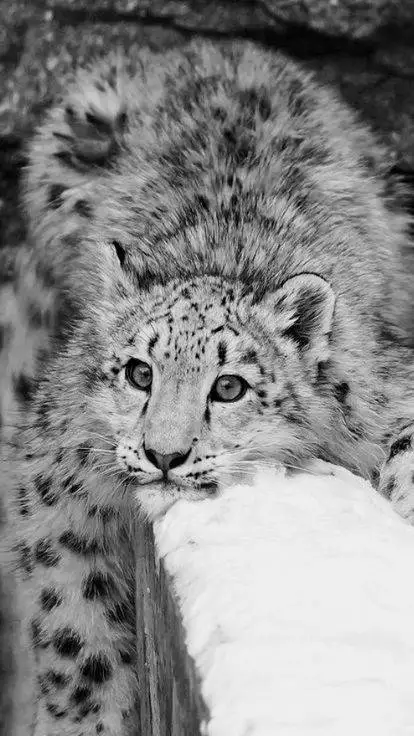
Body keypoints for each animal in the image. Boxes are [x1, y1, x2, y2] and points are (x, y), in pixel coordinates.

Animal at [1, 39, 414, 736]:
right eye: (139, 372)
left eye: (229, 387)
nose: (164, 455)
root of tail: (223, 45)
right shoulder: (55, 472)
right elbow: (74, 620)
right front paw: (84, 721)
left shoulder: (386, 396)